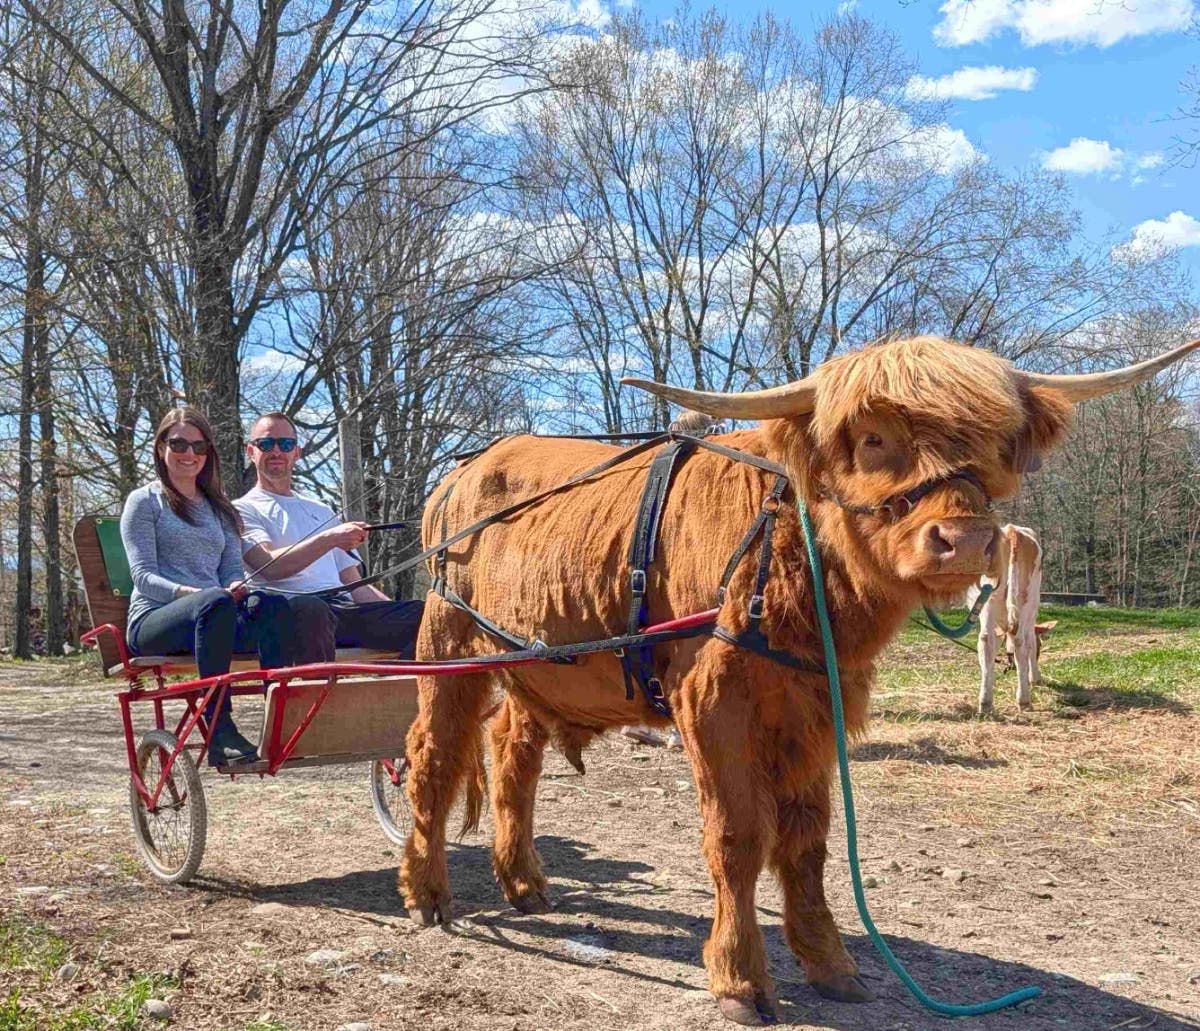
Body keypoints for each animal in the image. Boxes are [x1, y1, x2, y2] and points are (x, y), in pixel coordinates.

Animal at [971, 524, 1057, 713]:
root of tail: (1012, 532)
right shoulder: (1032, 615)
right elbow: (1031, 643)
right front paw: (1035, 678)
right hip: (1027, 600)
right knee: (1021, 642)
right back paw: (1024, 700)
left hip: (988, 597)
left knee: (985, 640)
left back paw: (985, 702)